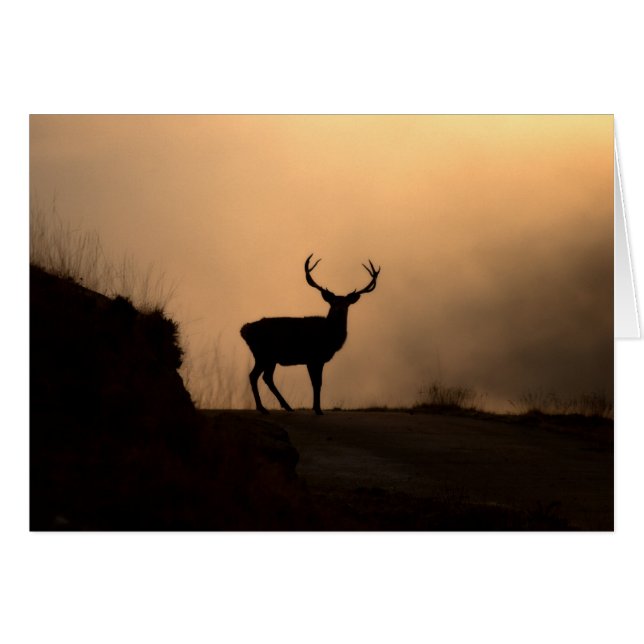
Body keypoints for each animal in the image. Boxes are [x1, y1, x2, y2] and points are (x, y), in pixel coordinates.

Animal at [240, 254, 380, 415]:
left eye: (346, 303)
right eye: (333, 302)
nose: (340, 309)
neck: (330, 337)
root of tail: (244, 330)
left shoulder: (314, 360)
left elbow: (317, 382)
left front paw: (316, 407)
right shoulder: (314, 357)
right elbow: (317, 383)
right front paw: (318, 409)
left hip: (268, 357)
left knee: (265, 377)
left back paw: (285, 406)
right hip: (263, 354)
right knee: (255, 376)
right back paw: (263, 408)